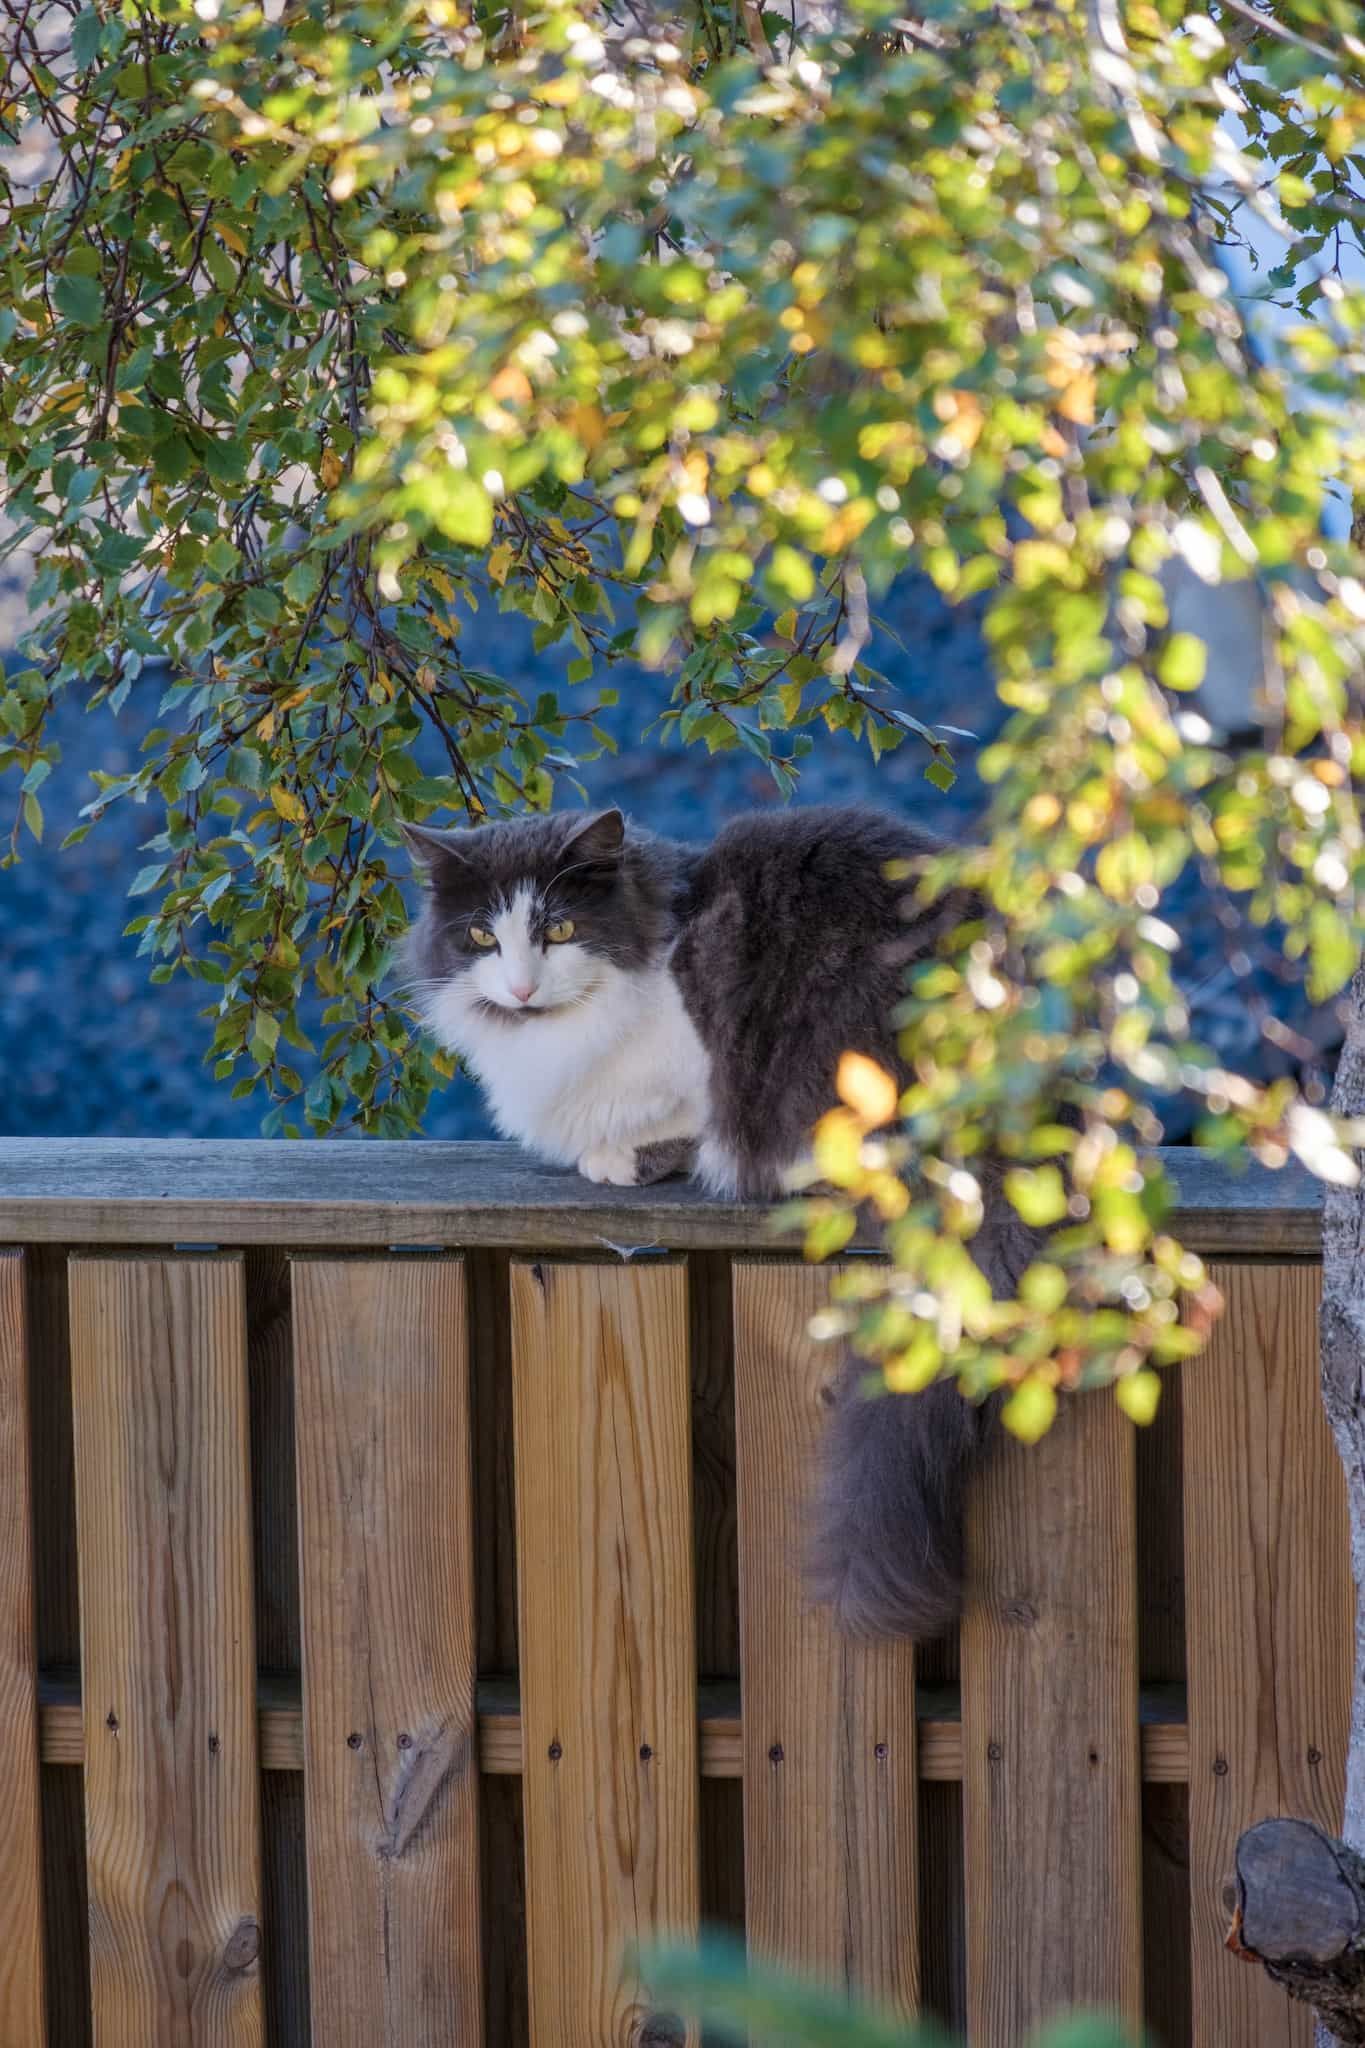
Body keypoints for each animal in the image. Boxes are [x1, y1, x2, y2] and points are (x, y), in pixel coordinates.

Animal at [401, 798, 1039, 1630]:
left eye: (560, 931)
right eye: (481, 937)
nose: (520, 990)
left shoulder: (691, 1074)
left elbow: (669, 1124)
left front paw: (616, 1160)